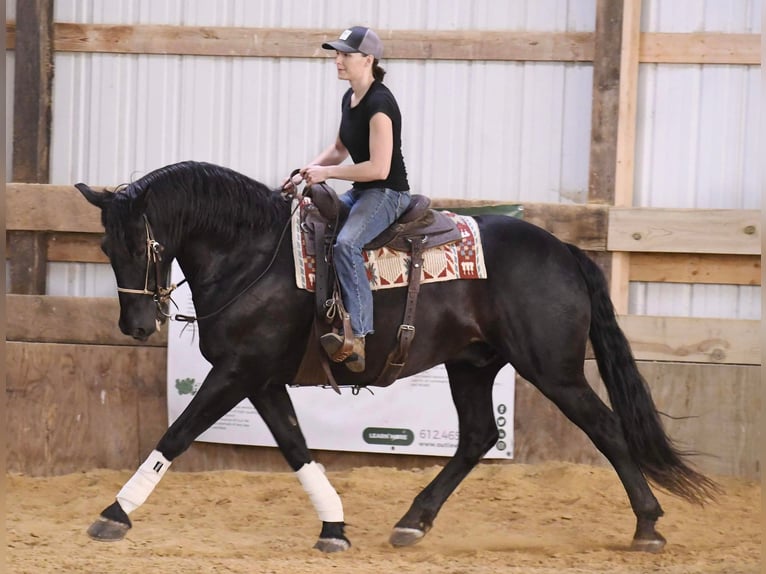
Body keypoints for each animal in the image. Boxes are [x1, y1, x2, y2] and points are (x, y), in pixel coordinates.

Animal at [75, 161, 716, 552]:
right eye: (105, 245)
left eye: (142, 244)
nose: (136, 324)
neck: (255, 254)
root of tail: (564, 250)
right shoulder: (261, 380)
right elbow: (295, 448)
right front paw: (334, 525)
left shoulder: (236, 372)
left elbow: (178, 434)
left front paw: (115, 513)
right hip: (473, 364)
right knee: (478, 436)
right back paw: (414, 520)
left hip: (552, 370)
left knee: (605, 428)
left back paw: (648, 525)